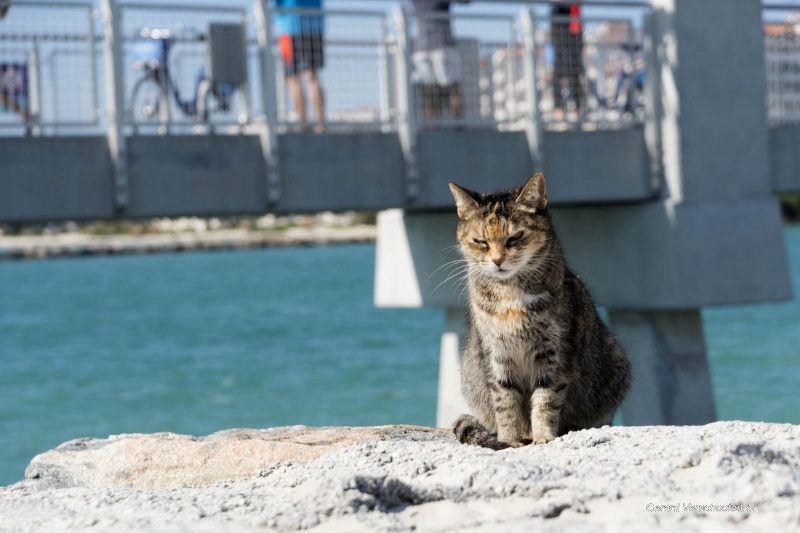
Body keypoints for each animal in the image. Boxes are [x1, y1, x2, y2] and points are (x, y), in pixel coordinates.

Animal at [450, 175, 632, 448]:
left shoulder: (554, 351)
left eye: (515, 237)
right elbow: (505, 401)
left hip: (615, 363)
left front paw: (544, 436)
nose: (497, 260)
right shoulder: (497, 354)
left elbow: (546, 399)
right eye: (481, 242)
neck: (510, 294)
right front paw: (508, 439)